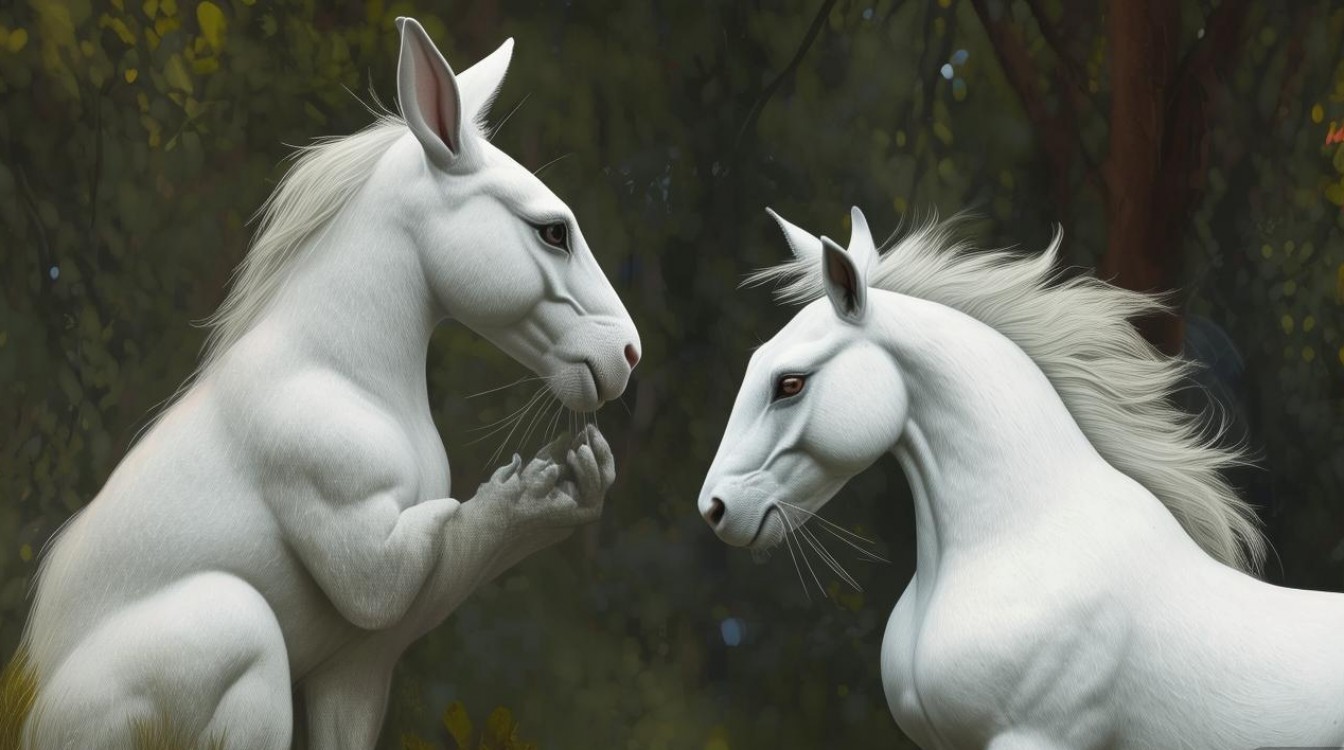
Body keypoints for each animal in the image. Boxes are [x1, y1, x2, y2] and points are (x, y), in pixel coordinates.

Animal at [19, 17, 639, 750]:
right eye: (552, 231)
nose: (627, 354)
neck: (345, 371)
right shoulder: (371, 566)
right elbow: (431, 532)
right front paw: (526, 492)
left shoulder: (363, 660)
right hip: (238, 632)